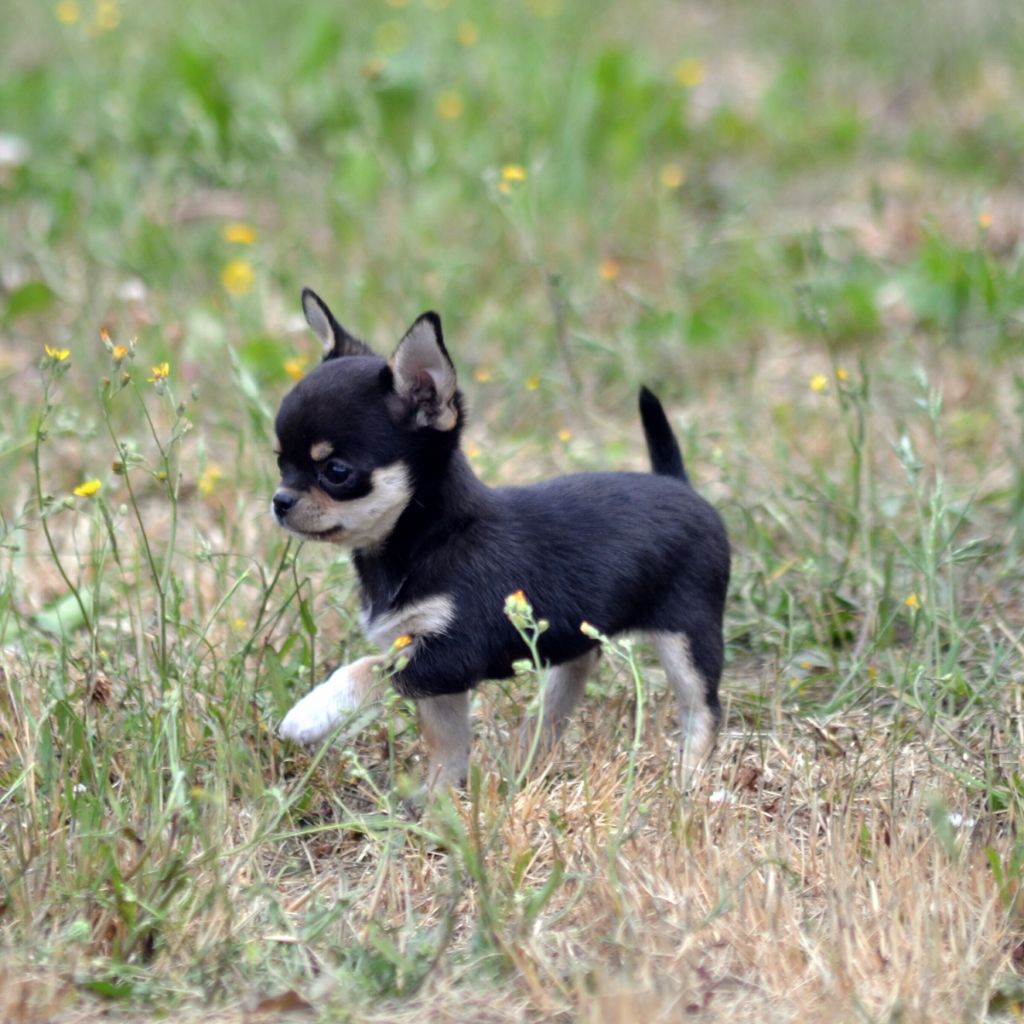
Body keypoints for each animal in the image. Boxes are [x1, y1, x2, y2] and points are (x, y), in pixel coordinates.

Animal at [273, 288, 729, 791]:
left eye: (335, 472)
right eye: (280, 462)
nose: (279, 501)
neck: (433, 538)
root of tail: (679, 484)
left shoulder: (452, 655)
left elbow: (372, 667)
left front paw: (314, 710)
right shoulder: (436, 672)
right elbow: (448, 742)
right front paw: (437, 800)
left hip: (688, 636)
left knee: (703, 709)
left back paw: (688, 781)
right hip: (577, 636)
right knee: (568, 682)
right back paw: (527, 757)